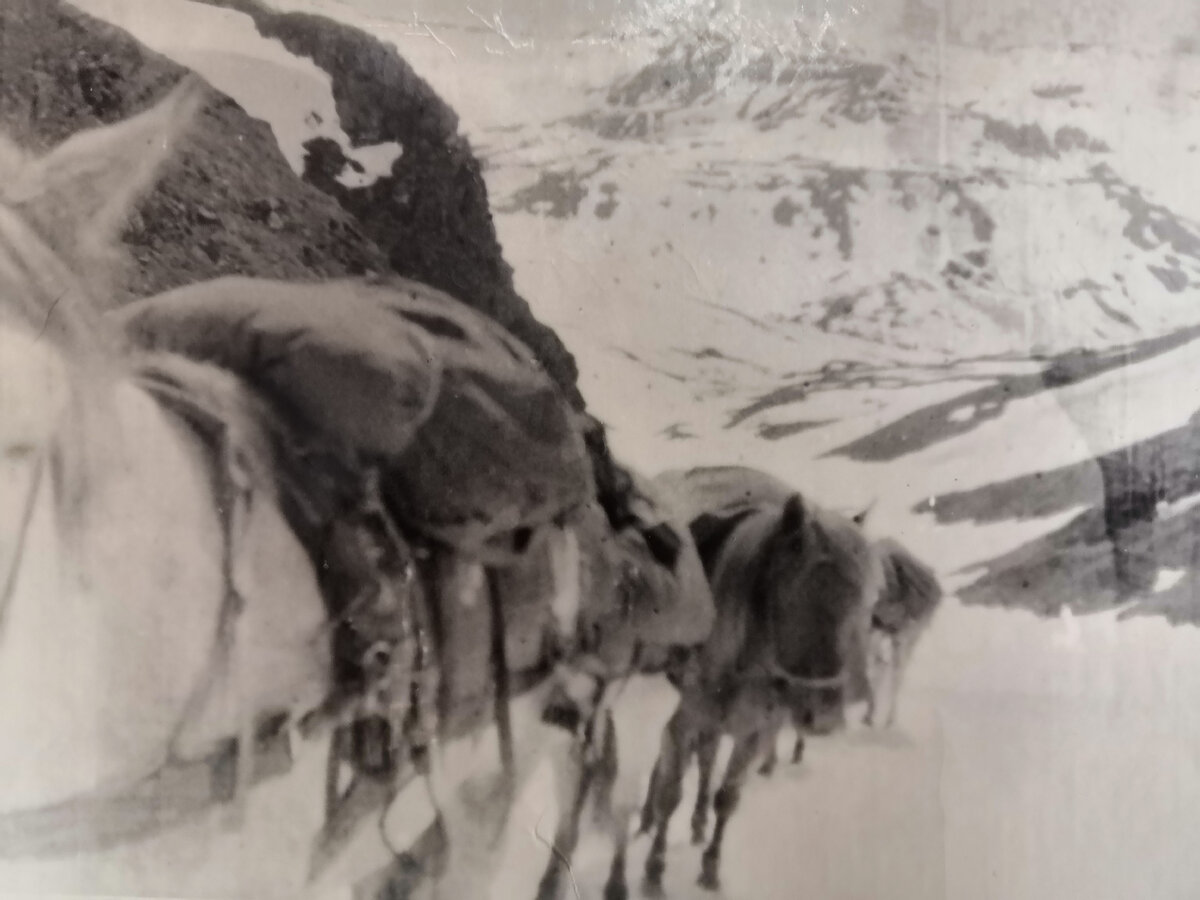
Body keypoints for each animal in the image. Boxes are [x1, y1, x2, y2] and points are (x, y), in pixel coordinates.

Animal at [637, 469, 884, 894]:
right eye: (798, 595)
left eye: (865, 605)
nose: (823, 719)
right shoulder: (692, 713)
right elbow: (672, 788)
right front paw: (653, 870)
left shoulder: (752, 731)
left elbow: (727, 797)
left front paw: (710, 868)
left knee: (706, 759)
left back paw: (698, 822)